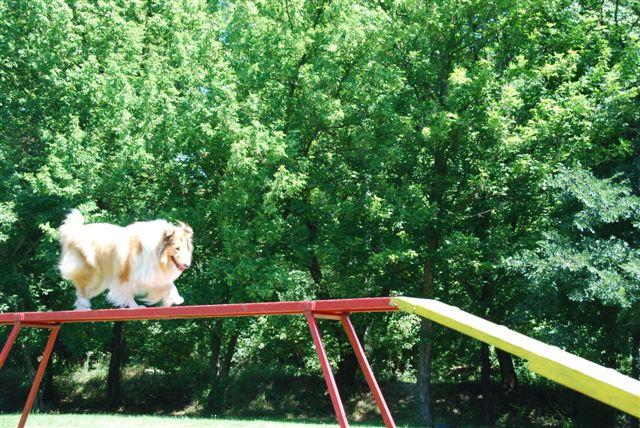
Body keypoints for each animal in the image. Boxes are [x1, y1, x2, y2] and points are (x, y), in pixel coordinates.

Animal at [58, 209, 193, 310]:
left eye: (186, 248)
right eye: (177, 248)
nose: (187, 265)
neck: (156, 251)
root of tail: (74, 233)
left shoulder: (152, 274)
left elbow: (170, 285)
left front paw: (175, 298)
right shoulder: (126, 274)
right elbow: (128, 292)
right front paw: (135, 306)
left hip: (100, 280)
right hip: (92, 274)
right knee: (80, 289)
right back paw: (83, 305)